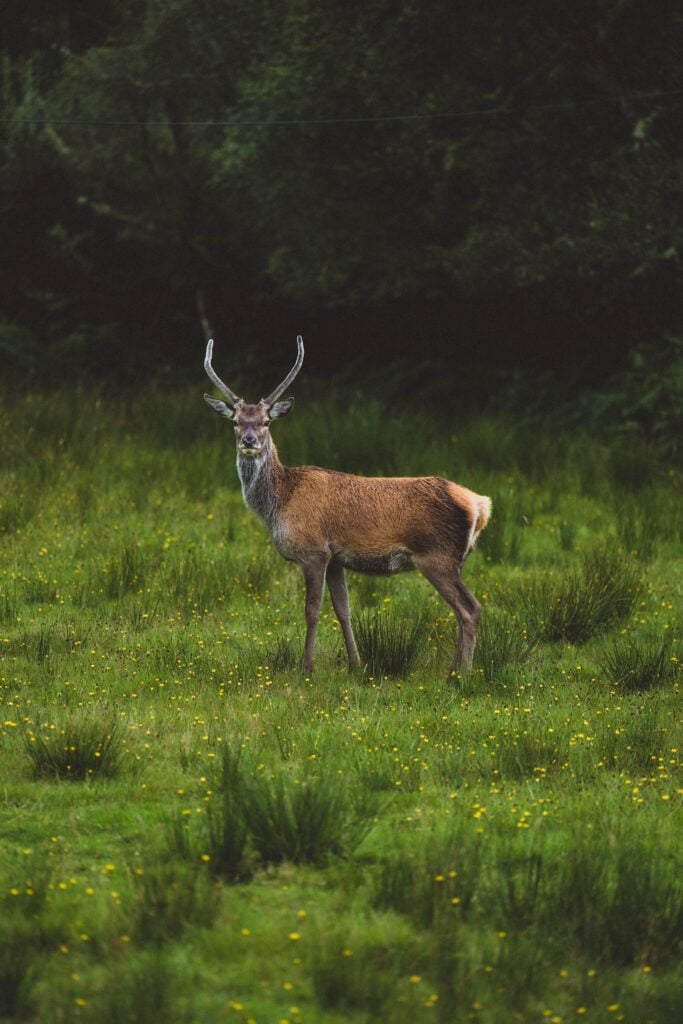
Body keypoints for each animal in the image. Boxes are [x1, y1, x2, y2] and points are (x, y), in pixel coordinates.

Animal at [203, 335, 491, 677]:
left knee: (470, 609)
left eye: (266, 421)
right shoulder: (336, 558)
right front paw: (357, 664)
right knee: (463, 610)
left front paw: (306, 668)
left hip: (437, 556)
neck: (279, 502)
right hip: (453, 559)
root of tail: (479, 505)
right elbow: (343, 610)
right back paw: (455, 670)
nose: (249, 440)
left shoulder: (313, 550)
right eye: (235, 422)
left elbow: (312, 611)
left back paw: (460, 675)